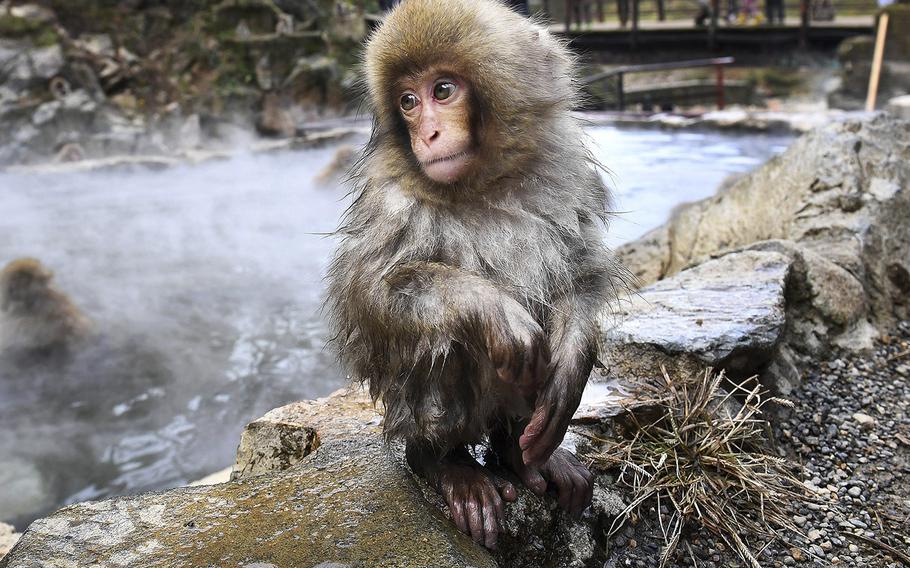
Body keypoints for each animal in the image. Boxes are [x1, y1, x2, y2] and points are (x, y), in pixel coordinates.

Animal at [324, 0, 624, 552]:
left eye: (443, 90)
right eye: (407, 101)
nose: (427, 134)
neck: (486, 183)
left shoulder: (566, 169)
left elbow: (579, 267)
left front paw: (573, 362)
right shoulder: (391, 200)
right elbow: (372, 293)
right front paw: (495, 312)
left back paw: (521, 455)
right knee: (443, 338)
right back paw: (447, 463)